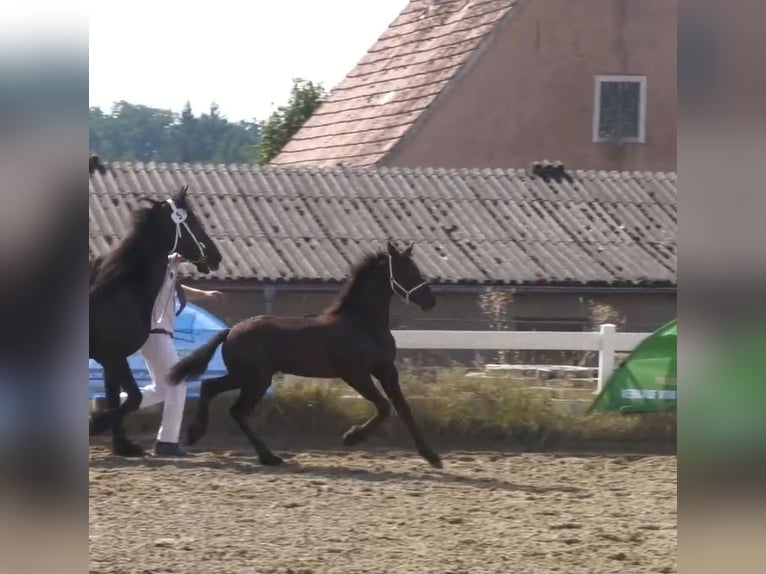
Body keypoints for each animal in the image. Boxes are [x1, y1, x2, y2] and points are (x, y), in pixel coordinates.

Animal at [91, 187, 222, 456]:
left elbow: (115, 397)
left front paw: (123, 446)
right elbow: (133, 397)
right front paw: (95, 424)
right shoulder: (112, 355)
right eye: (194, 221)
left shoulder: (110, 360)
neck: (122, 289)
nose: (217, 257)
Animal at [168, 241, 444, 470]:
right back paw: (269, 457)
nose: (430, 301)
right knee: (237, 410)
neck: (362, 324)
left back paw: (196, 434)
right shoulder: (355, 374)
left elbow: (403, 408)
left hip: (243, 376)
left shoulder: (386, 369)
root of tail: (231, 330)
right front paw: (351, 437)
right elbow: (385, 406)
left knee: (210, 388)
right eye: (407, 271)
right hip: (256, 379)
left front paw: (432, 457)